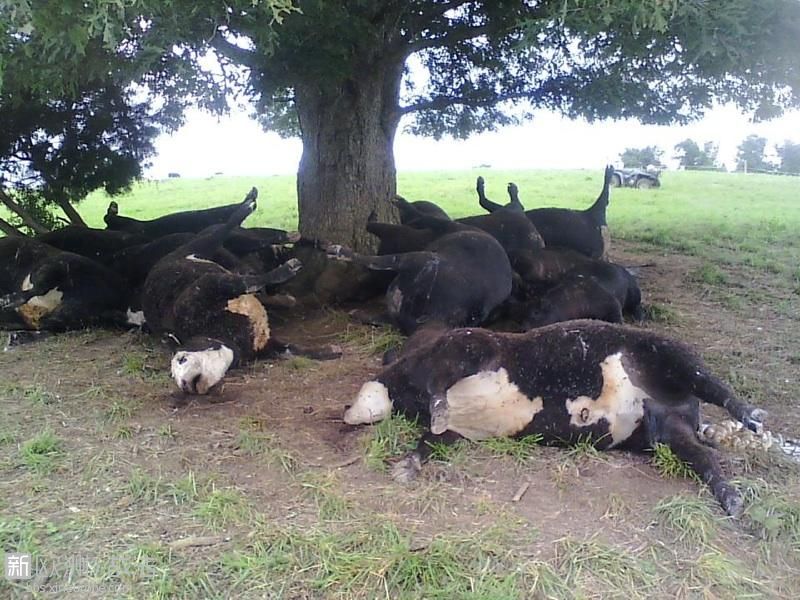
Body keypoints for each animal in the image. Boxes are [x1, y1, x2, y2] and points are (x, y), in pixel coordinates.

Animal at [340, 318, 764, 516]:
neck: (407, 385)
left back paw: (753, 417)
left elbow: (440, 389)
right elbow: (431, 440)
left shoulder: (469, 345)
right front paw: (405, 468)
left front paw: (436, 411)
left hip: (668, 353)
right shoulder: (459, 433)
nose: (345, 413)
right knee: (703, 457)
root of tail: (683, 407)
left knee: (714, 386)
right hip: (667, 434)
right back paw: (732, 500)